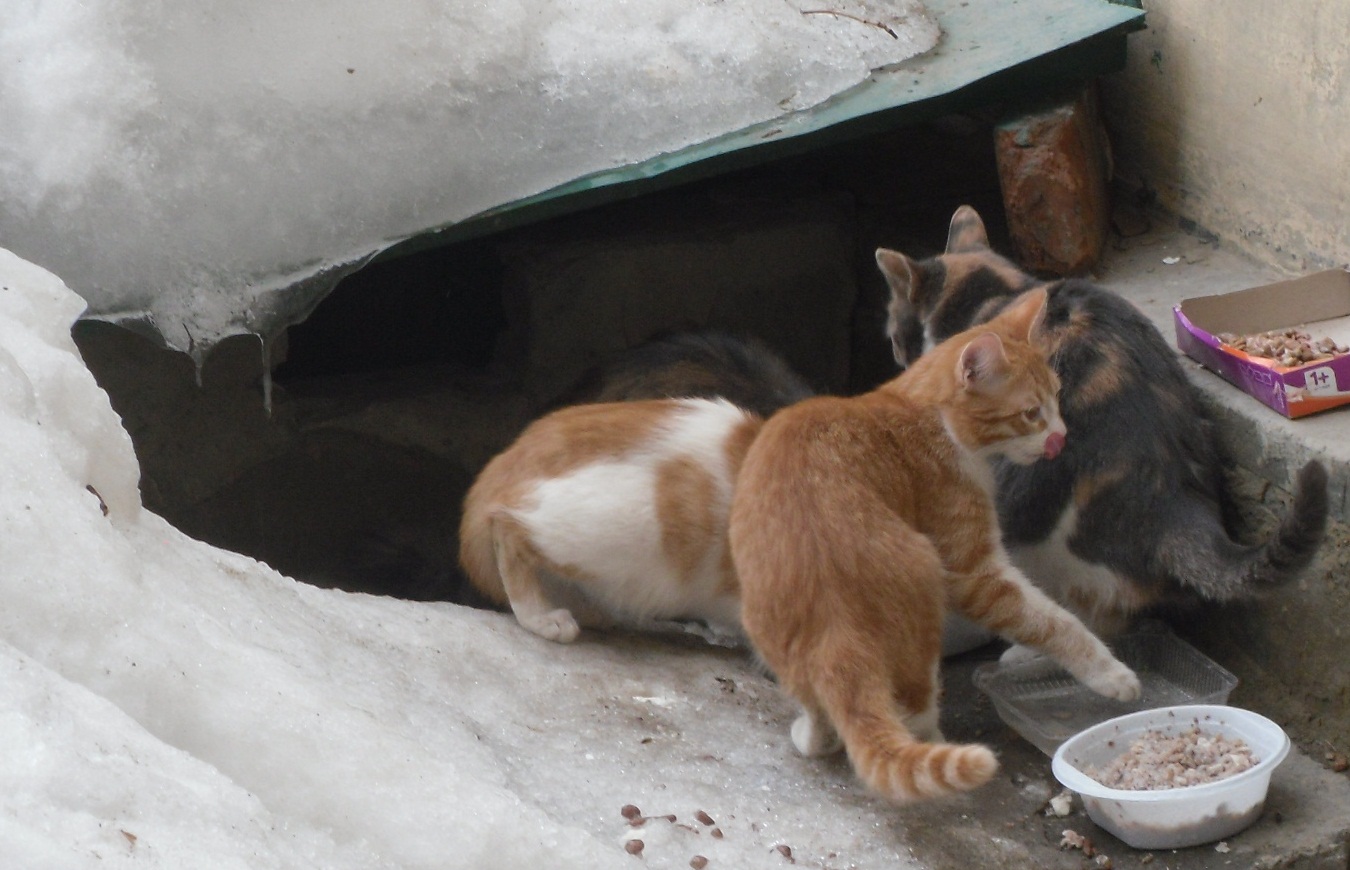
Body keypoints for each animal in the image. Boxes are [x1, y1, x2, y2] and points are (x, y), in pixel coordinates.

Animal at [729, 285, 1139, 799]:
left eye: (1059, 400)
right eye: (1031, 414)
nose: (1061, 439)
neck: (919, 407)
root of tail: (834, 628)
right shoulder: (972, 570)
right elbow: (1051, 620)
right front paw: (1111, 673)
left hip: (762, 625)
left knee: (821, 709)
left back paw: (811, 734)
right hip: (925, 596)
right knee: (915, 704)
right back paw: (936, 738)